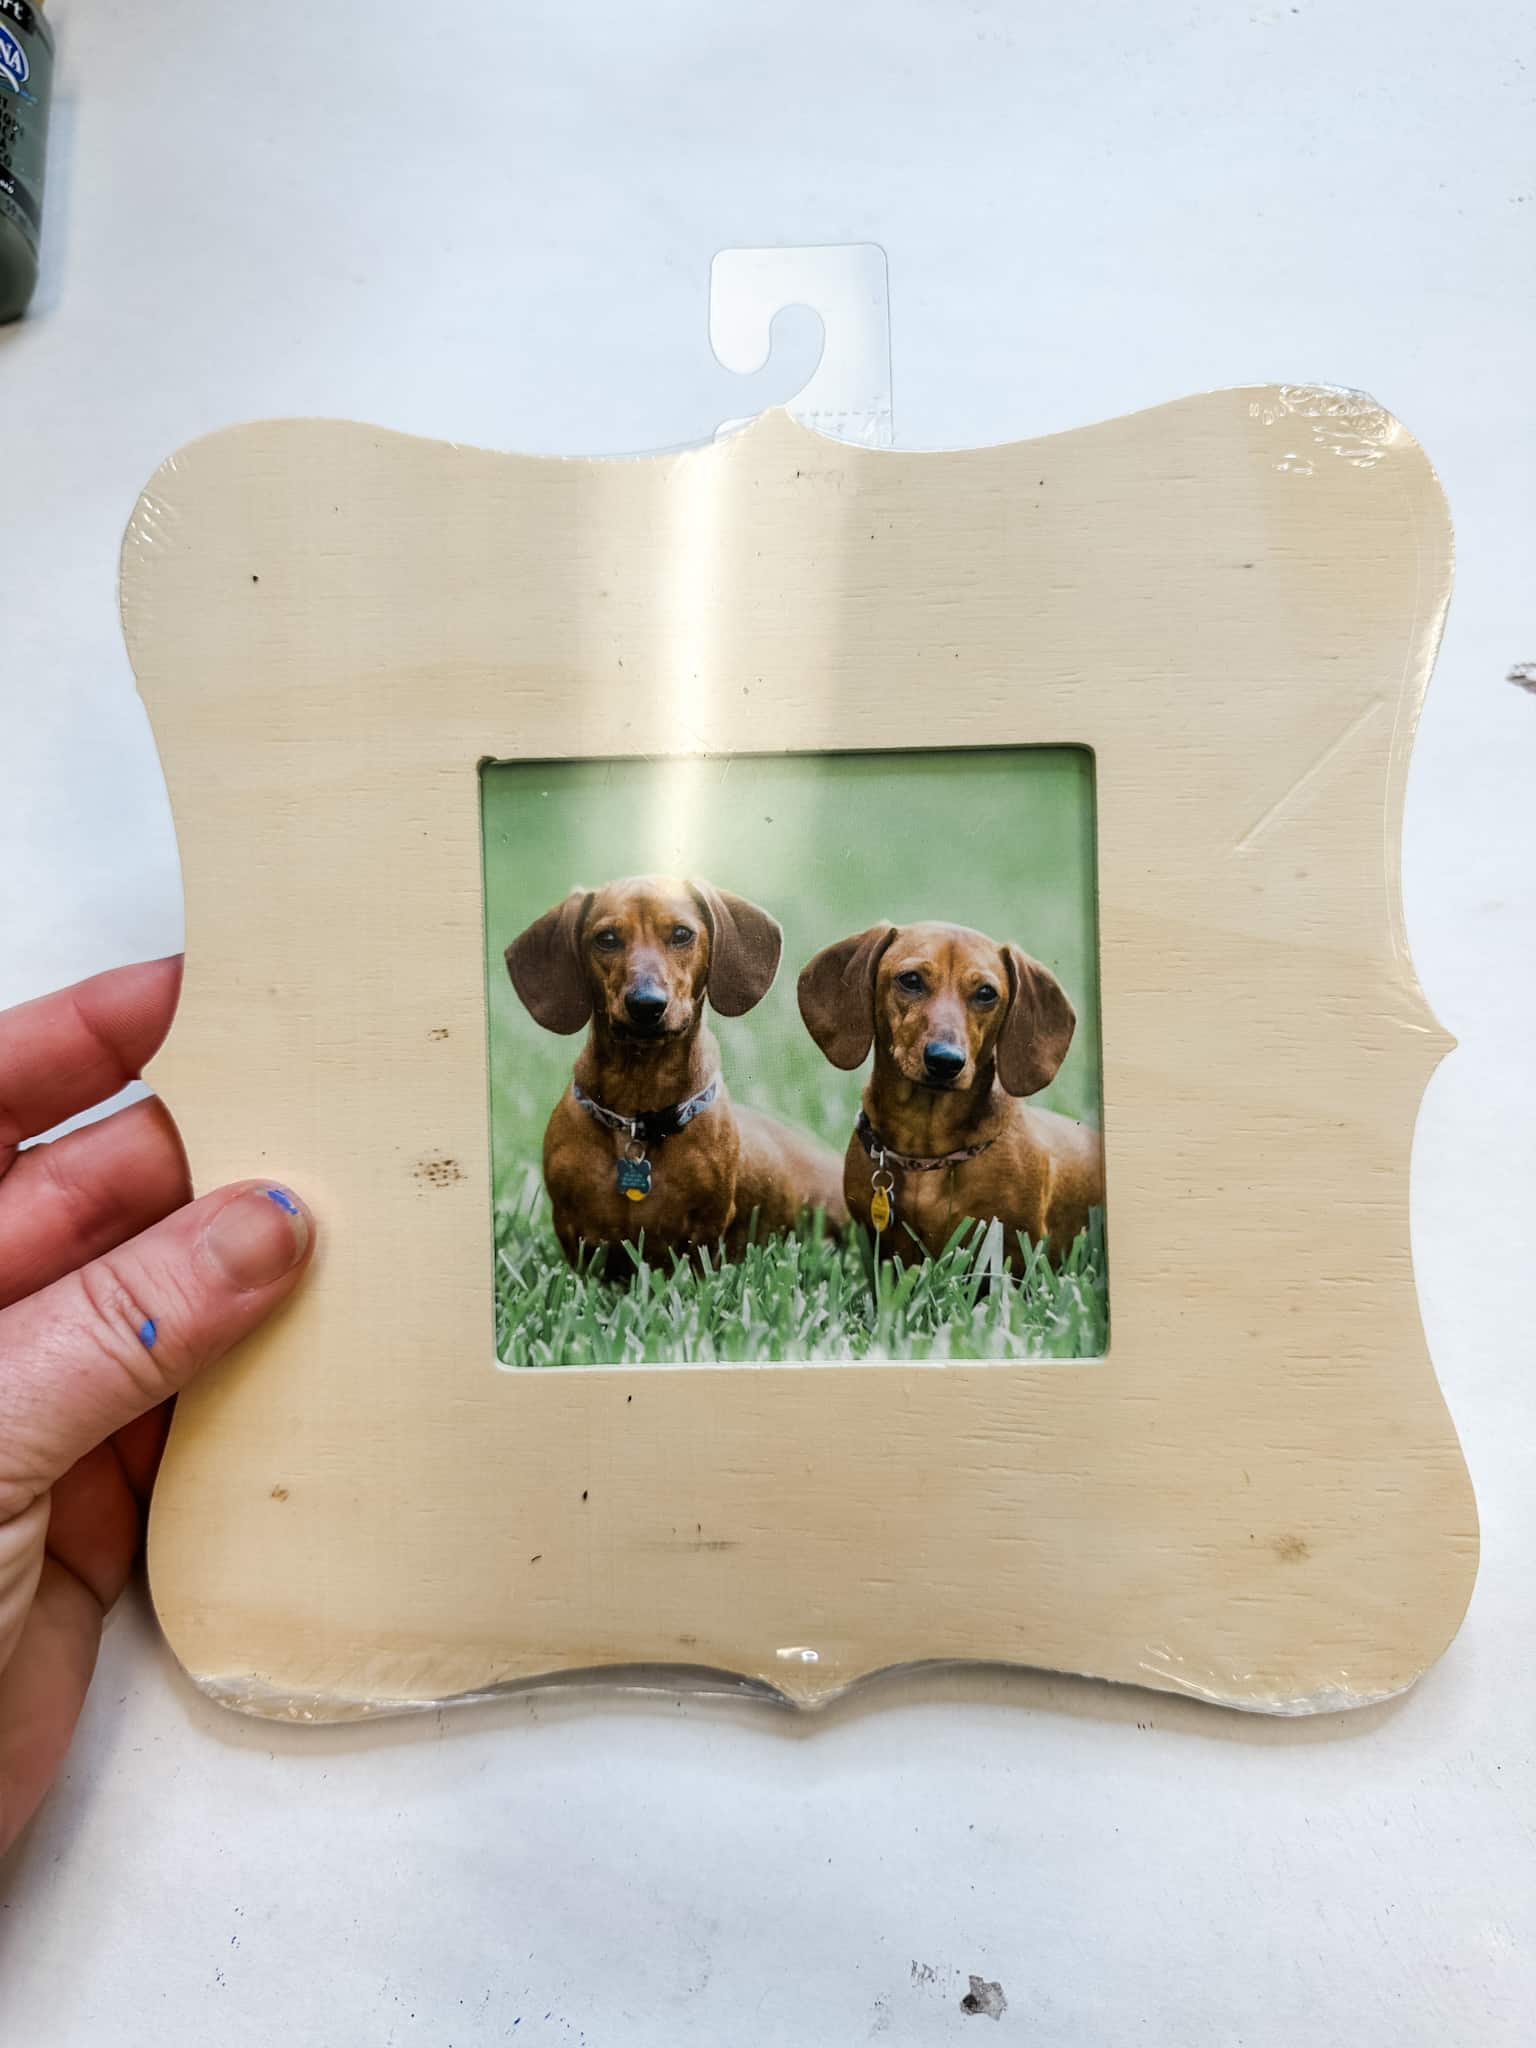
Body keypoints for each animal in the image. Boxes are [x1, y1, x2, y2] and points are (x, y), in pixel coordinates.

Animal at [507, 876, 847, 1269]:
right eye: (606, 938)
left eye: (682, 934)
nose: (646, 1005)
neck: (638, 1113)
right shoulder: (573, 1232)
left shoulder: (705, 1232)